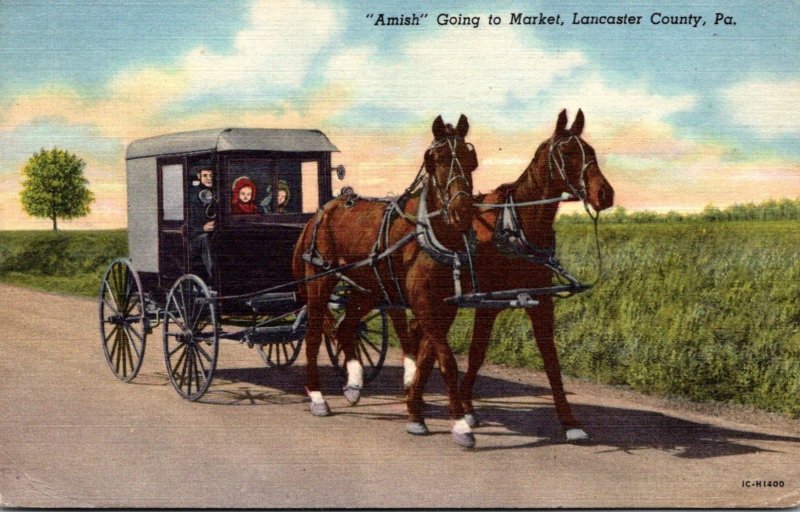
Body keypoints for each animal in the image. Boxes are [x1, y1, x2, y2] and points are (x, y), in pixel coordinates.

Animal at [294, 114, 482, 446]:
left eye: (470, 160)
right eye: (435, 160)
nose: (462, 211)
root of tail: (320, 212)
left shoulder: (445, 307)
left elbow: (427, 358)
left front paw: (416, 412)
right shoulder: (423, 302)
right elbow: (446, 360)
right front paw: (460, 425)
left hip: (367, 288)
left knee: (345, 328)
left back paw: (354, 384)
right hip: (319, 283)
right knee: (315, 336)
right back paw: (317, 397)